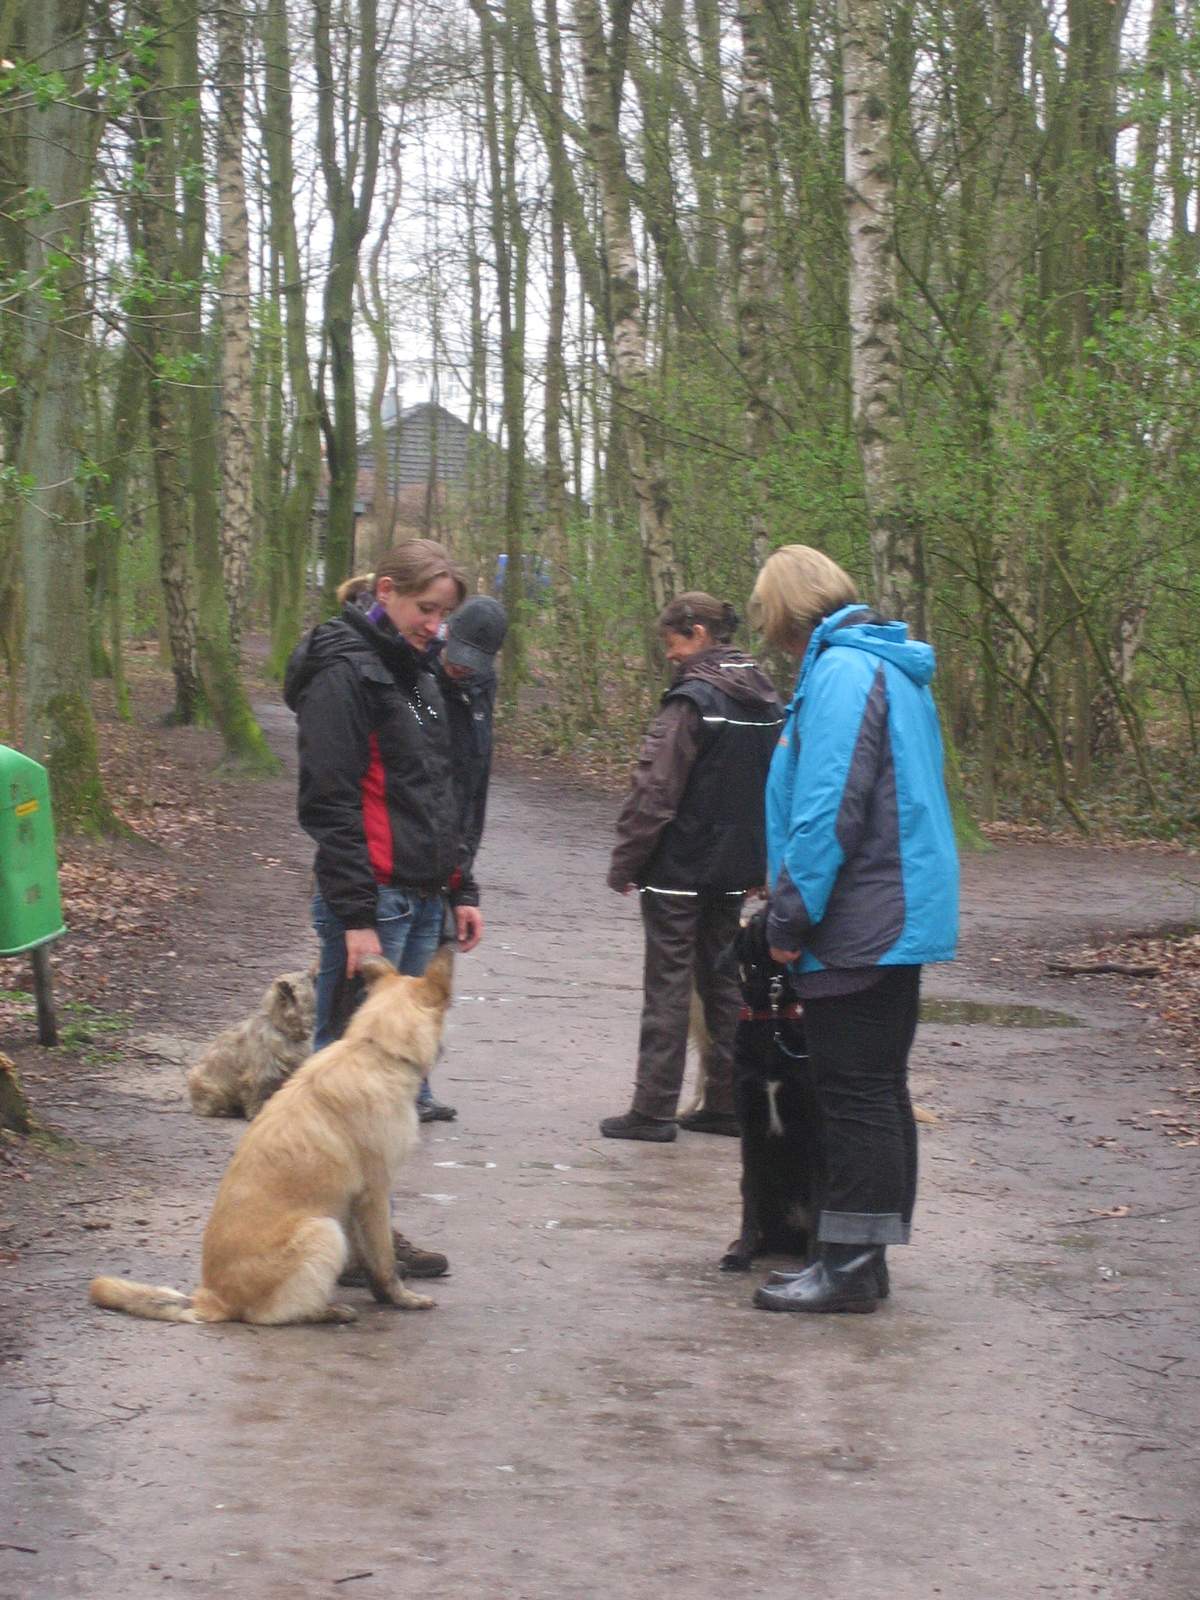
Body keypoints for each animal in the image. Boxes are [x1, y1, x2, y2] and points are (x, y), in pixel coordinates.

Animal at [186, 968, 316, 1120]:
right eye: (311, 980)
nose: (315, 970)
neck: (281, 1029)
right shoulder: (260, 1074)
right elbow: (257, 1094)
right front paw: (257, 1112)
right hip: (211, 1087)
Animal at [719, 914, 823, 1272]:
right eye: (757, 920)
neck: (773, 1014)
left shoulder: (813, 1130)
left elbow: (818, 1208)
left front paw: (813, 1263)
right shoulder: (749, 1126)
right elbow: (750, 1199)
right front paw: (741, 1254)